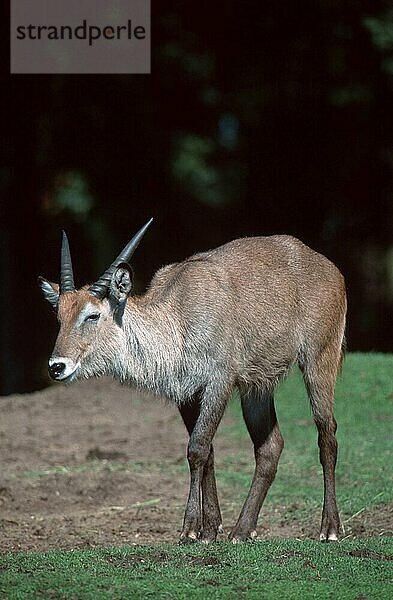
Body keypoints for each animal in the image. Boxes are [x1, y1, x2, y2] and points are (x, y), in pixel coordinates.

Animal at [39, 218, 344, 540]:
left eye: (92, 315)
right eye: (59, 317)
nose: (57, 367)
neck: (178, 319)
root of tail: (323, 263)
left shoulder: (219, 383)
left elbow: (197, 448)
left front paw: (190, 529)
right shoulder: (186, 394)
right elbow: (206, 450)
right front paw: (211, 528)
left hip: (319, 360)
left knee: (327, 435)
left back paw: (329, 528)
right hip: (256, 387)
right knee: (271, 447)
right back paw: (242, 530)